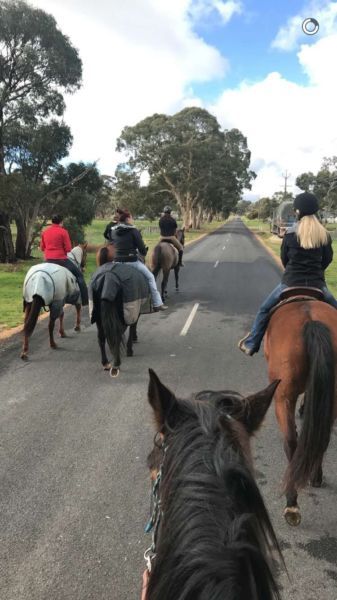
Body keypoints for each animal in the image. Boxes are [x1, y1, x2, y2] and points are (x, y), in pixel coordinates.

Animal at [264, 300, 336, 524]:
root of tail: (311, 321)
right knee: (322, 438)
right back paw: (316, 477)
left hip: (282, 396)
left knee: (291, 441)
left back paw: (292, 503)